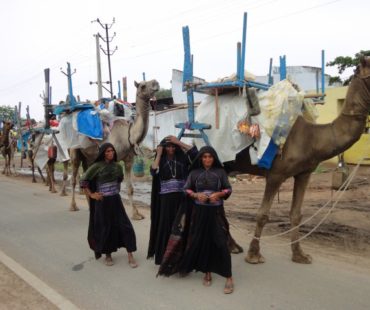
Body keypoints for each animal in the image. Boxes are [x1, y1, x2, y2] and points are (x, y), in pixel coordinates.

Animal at [68, 80, 158, 219]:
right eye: (143, 86)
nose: (155, 83)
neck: (129, 135)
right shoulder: (113, 158)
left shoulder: (129, 159)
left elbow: (130, 187)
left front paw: (137, 214)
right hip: (75, 152)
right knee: (73, 179)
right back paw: (73, 206)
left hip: (89, 157)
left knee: (86, 177)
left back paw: (90, 207)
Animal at [225, 55, 370, 264]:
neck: (313, 138)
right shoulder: (275, 174)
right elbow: (262, 214)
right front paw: (254, 255)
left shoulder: (304, 173)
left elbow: (296, 214)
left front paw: (300, 254)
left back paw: (233, 246)